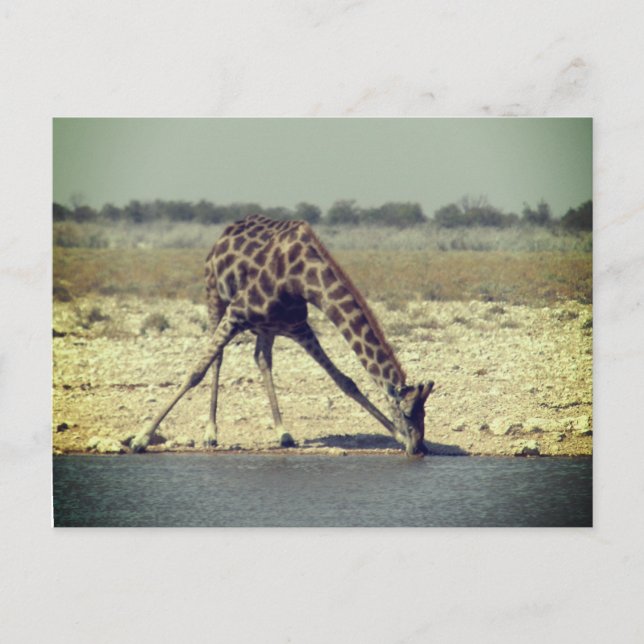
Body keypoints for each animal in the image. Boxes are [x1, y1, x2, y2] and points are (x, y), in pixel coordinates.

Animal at [131, 214, 434, 457]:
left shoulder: (298, 327)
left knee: (262, 360)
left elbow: (345, 382)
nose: (419, 447)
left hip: (267, 328)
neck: (300, 279)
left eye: (424, 412)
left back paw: (282, 432)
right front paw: (141, 438)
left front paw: (396, 436)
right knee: (217, 359)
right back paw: (211, 433)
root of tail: (225, 232)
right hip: (214, 297)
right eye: (407, 413)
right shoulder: (236, 313)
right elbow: (195, 373)